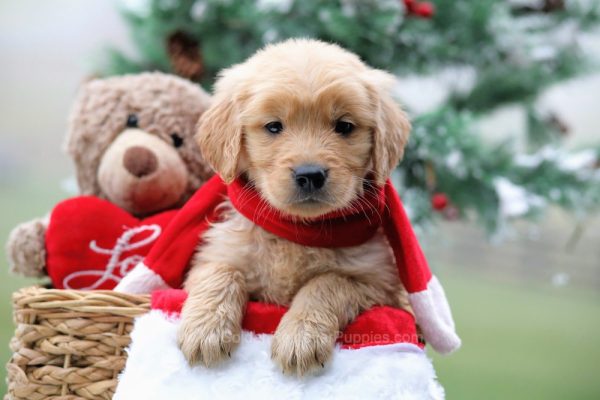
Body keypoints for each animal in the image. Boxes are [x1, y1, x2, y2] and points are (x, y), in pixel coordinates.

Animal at [178, 37, 412, 376]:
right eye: (274, 126)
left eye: (344, 126)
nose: (310, 174)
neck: (297, 230)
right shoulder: (214, 255)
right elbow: (221, 272)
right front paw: (205, 329)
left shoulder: (380, 284)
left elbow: (326, 282)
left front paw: (300, 337)